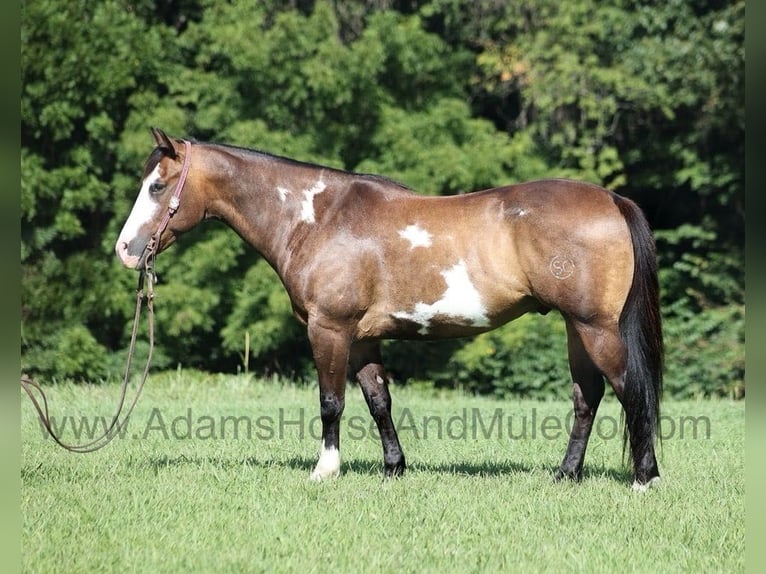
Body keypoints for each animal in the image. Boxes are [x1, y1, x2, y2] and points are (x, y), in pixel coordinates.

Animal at [117, 129, 664, 490]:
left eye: (157, 186)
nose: (125, 250)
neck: (318, 219)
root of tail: (611, 199)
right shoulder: (362, 338)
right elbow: (379, 401)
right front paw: (394, 468)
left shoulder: (329, 330)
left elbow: (331, 402)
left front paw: (325, 471)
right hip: (577, 329)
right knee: (587, 398)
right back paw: (566, 475)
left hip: (596, 329)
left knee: (630, 391)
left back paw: (644, 479)